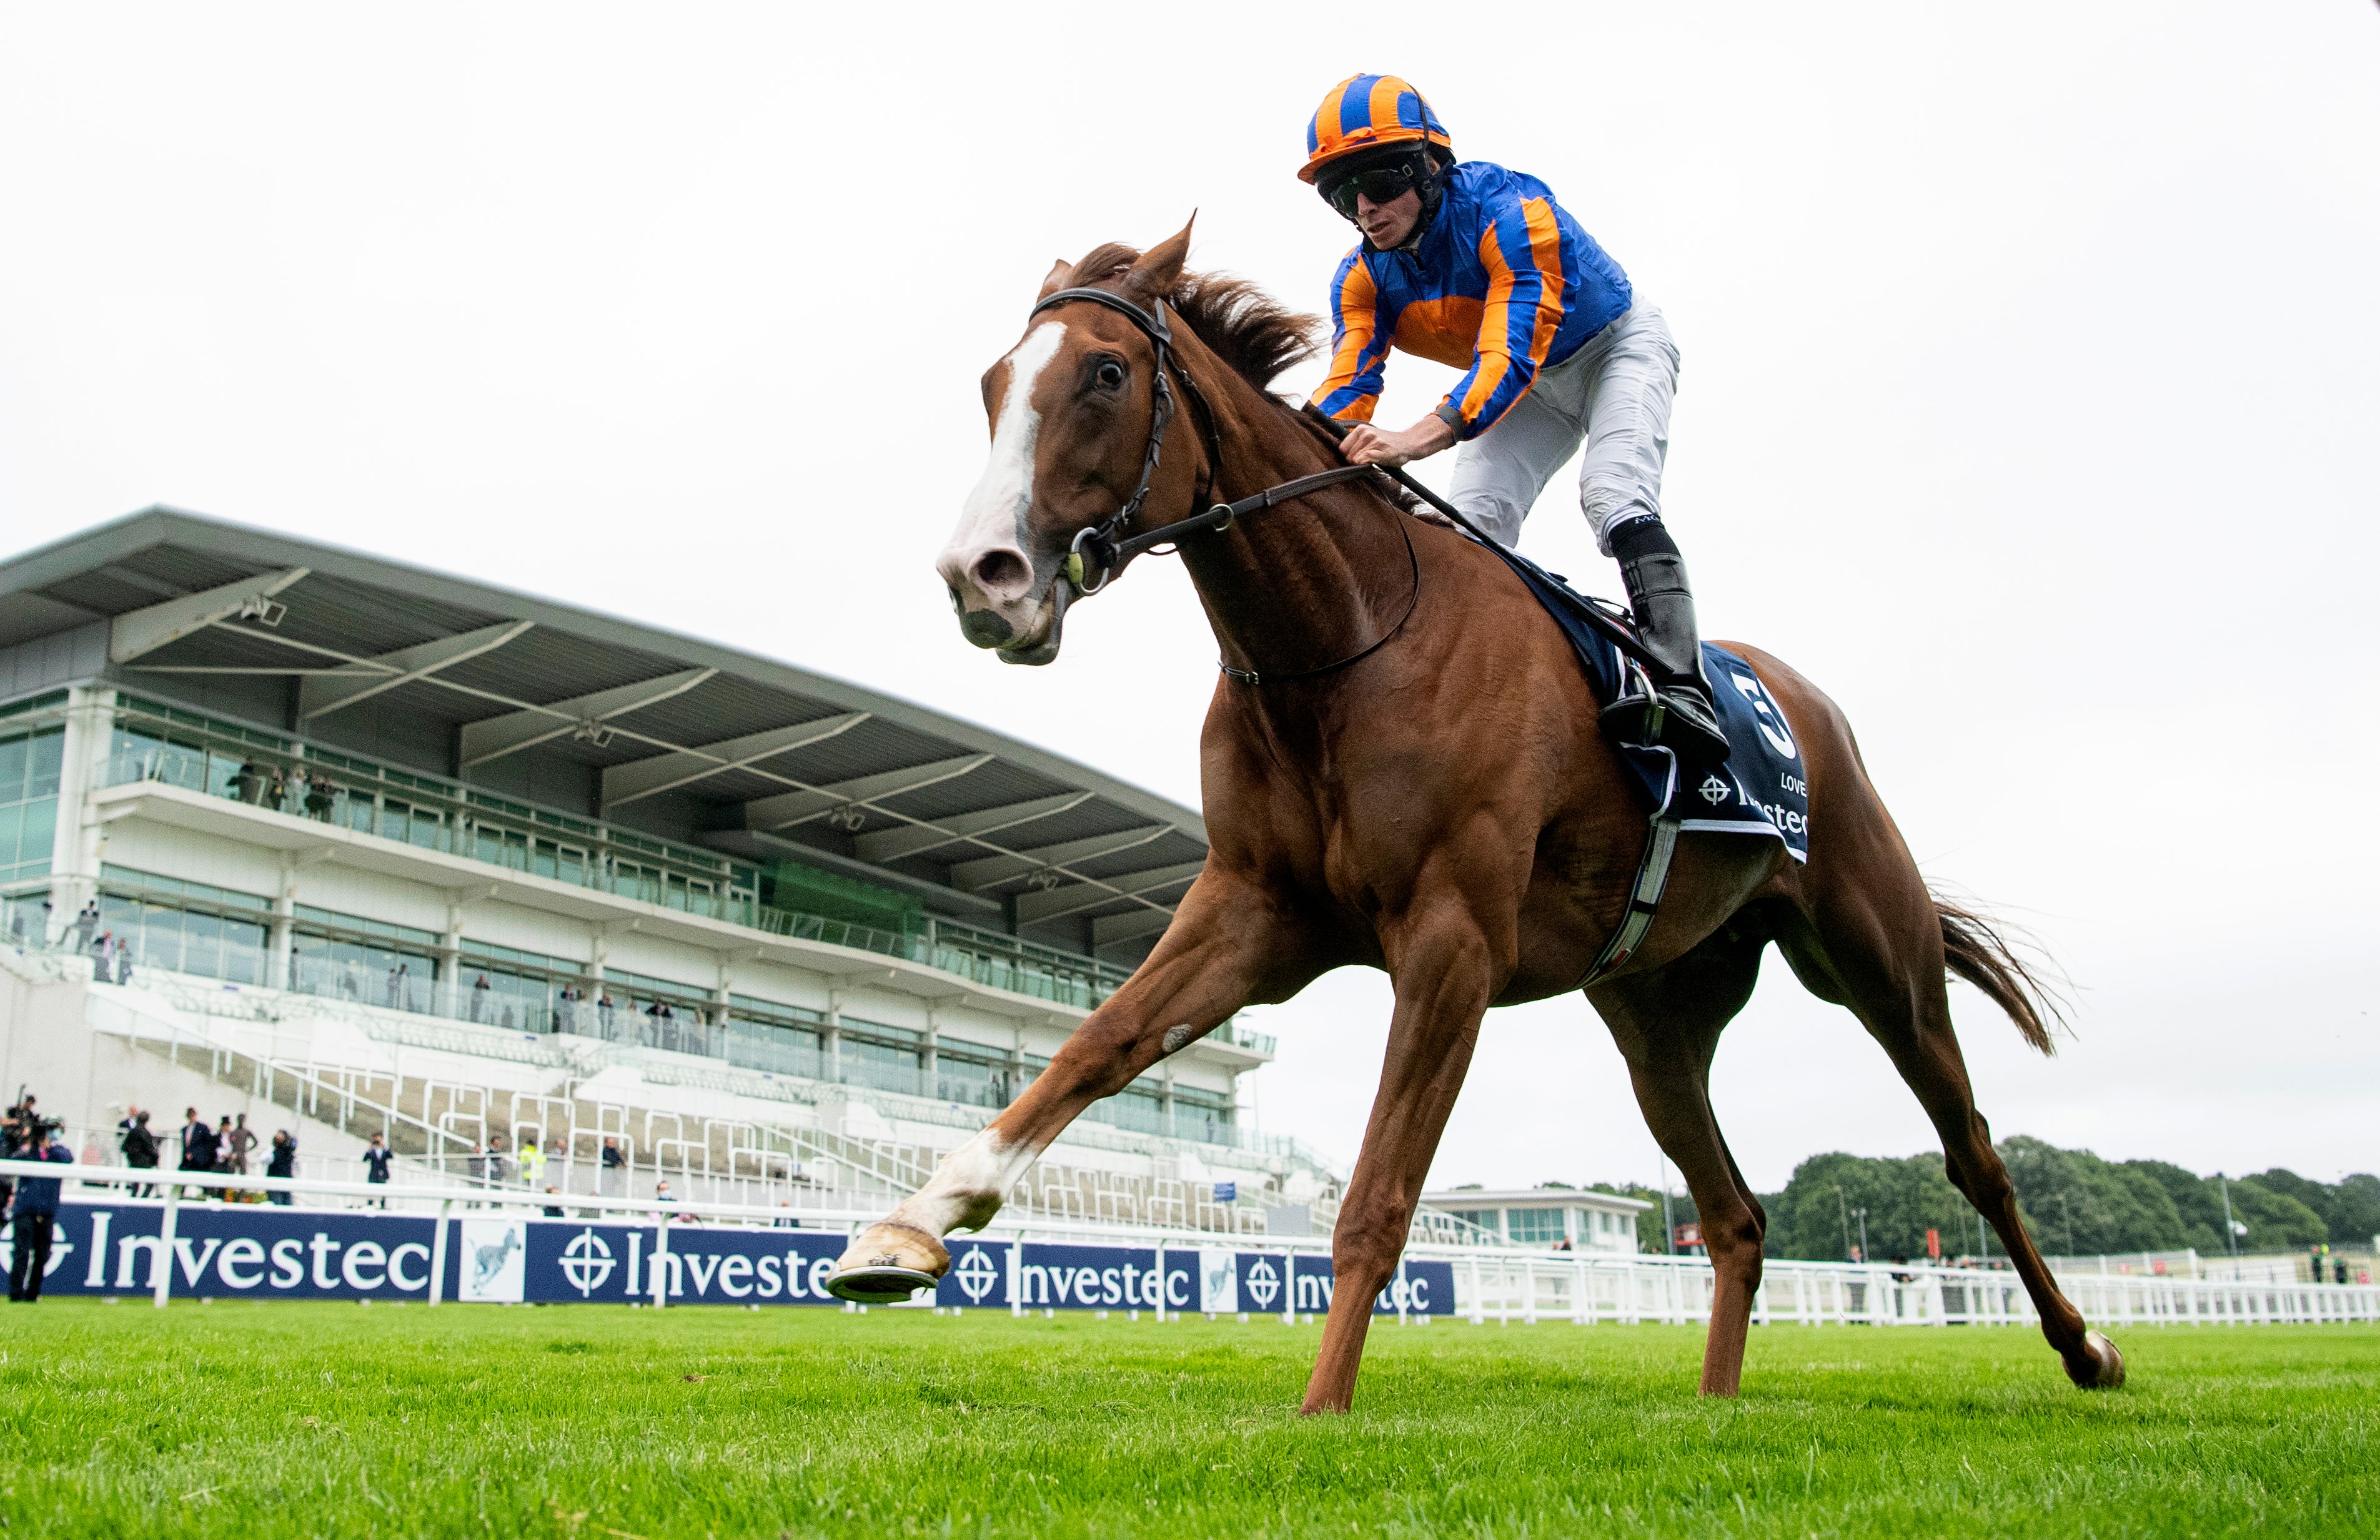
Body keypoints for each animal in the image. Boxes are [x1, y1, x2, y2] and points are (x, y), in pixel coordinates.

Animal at [828, 222, 2132, 1418]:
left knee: (1974, 1154)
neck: (1339, 645)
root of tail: (1805, 704)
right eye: (993, 383)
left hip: (1876, 953)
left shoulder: (1451, 939)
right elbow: (1091, 1048)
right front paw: (903, 1230)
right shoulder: (1254, 910)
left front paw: (1321, 1408)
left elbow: (1374, 1199)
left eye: (1104, 374)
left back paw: (2088, 1350)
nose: (983, 576)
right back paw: (1716, 1401)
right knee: (1736, 1217)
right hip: (1658, 1019)